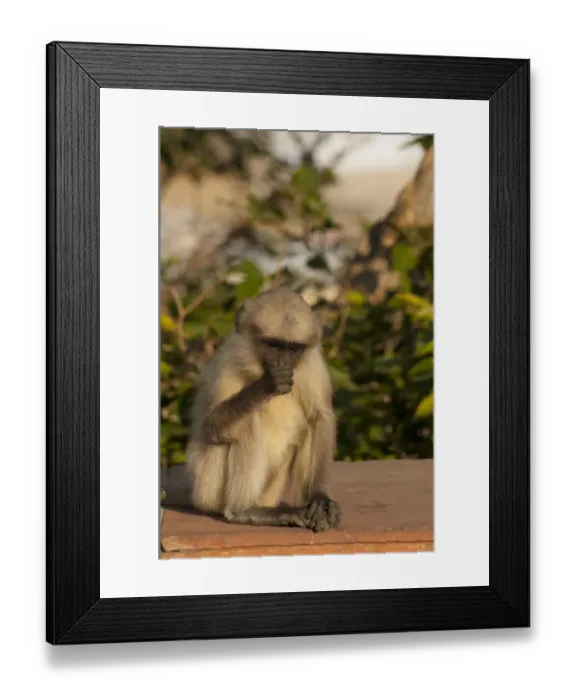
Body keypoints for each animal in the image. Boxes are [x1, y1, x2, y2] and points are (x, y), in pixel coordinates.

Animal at [184, 286, 341, 533]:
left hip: (269, 492)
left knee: (307, 423)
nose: (282, 364)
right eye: (273, 345)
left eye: (292, 349)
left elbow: (320, 417)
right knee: (248, 420)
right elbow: (210, 427)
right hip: (206, 488)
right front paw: (265, 386)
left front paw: (321, 499)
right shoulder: (228, 362)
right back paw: (242, 510)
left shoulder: (312, 363)